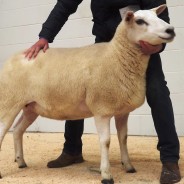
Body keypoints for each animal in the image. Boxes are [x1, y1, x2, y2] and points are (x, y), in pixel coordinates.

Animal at [0, 4, 175, 184]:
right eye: (140, 21)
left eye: (158, 16)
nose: (171, 30)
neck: (115, 56)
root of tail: (14, 57)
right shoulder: (102, 110)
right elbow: (106, 142)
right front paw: (106, 174)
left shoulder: (122, 111)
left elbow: (123, 138)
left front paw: (128, 166)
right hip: (9, 101)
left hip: (30, 107)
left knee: (18, 130)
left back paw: (21, 162)